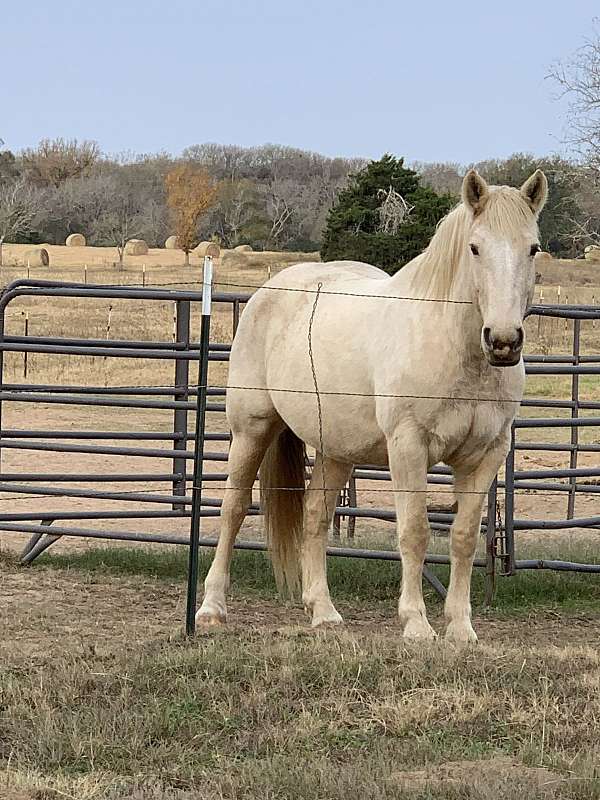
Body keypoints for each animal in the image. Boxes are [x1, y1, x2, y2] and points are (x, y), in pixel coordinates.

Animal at [197, 168, 548, 642]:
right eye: (475, 247)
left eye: (533, 248)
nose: (504, 341)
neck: (453, 346)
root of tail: (268, 292)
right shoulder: (409, 446)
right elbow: (415, 532)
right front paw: (416, 624)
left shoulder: (486, 455)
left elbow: (463, 538)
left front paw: (460, 628)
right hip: (252, 429)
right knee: (232, 509)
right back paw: (211, 609)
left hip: (335, 450)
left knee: (314, 517)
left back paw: (324, 612)